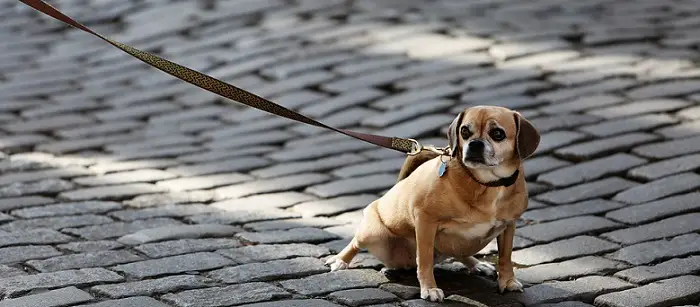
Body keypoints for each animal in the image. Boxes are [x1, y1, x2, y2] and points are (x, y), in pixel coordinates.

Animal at [326, 106, 540, 304]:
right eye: (464, 132)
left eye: (498, 134)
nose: (474, 144)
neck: (486, 183)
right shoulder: (425, 221)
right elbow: (425, 259)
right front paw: (429, 288)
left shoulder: (509, 225)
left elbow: (505, 257)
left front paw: (508, 281)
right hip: (372, 233)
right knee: (355, 242)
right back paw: (340, 260)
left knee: (460, 252)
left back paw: (476, 264)